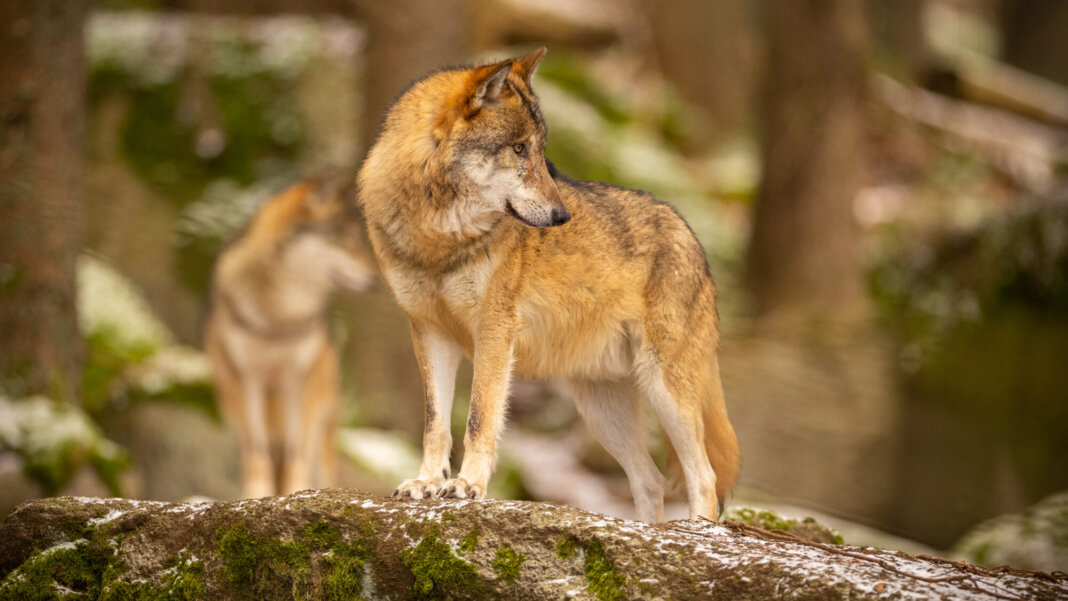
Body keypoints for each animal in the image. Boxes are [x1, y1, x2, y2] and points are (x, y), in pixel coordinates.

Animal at [204, 175, 376, 499]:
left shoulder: (299, 379)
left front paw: (299, 491)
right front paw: (255, 495)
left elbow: (298, 450)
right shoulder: (247, 378)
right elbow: (256, 450)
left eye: (357, 240)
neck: (278, 318)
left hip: (322, 412)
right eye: (343, 240)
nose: (374, 280)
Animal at [357, 47, 739, 521]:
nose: (562, 217)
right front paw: (426, 483)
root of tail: (692, 236)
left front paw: (467, 486)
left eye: (541, 152)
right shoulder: (429, 332)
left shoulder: (494, 331)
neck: (438, 237)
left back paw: (694, 533)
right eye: (519, 149)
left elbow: (479, 417)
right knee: (650, 479)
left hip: (665, 389)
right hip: (601, 410)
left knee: (703, 478)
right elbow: (435, 423)